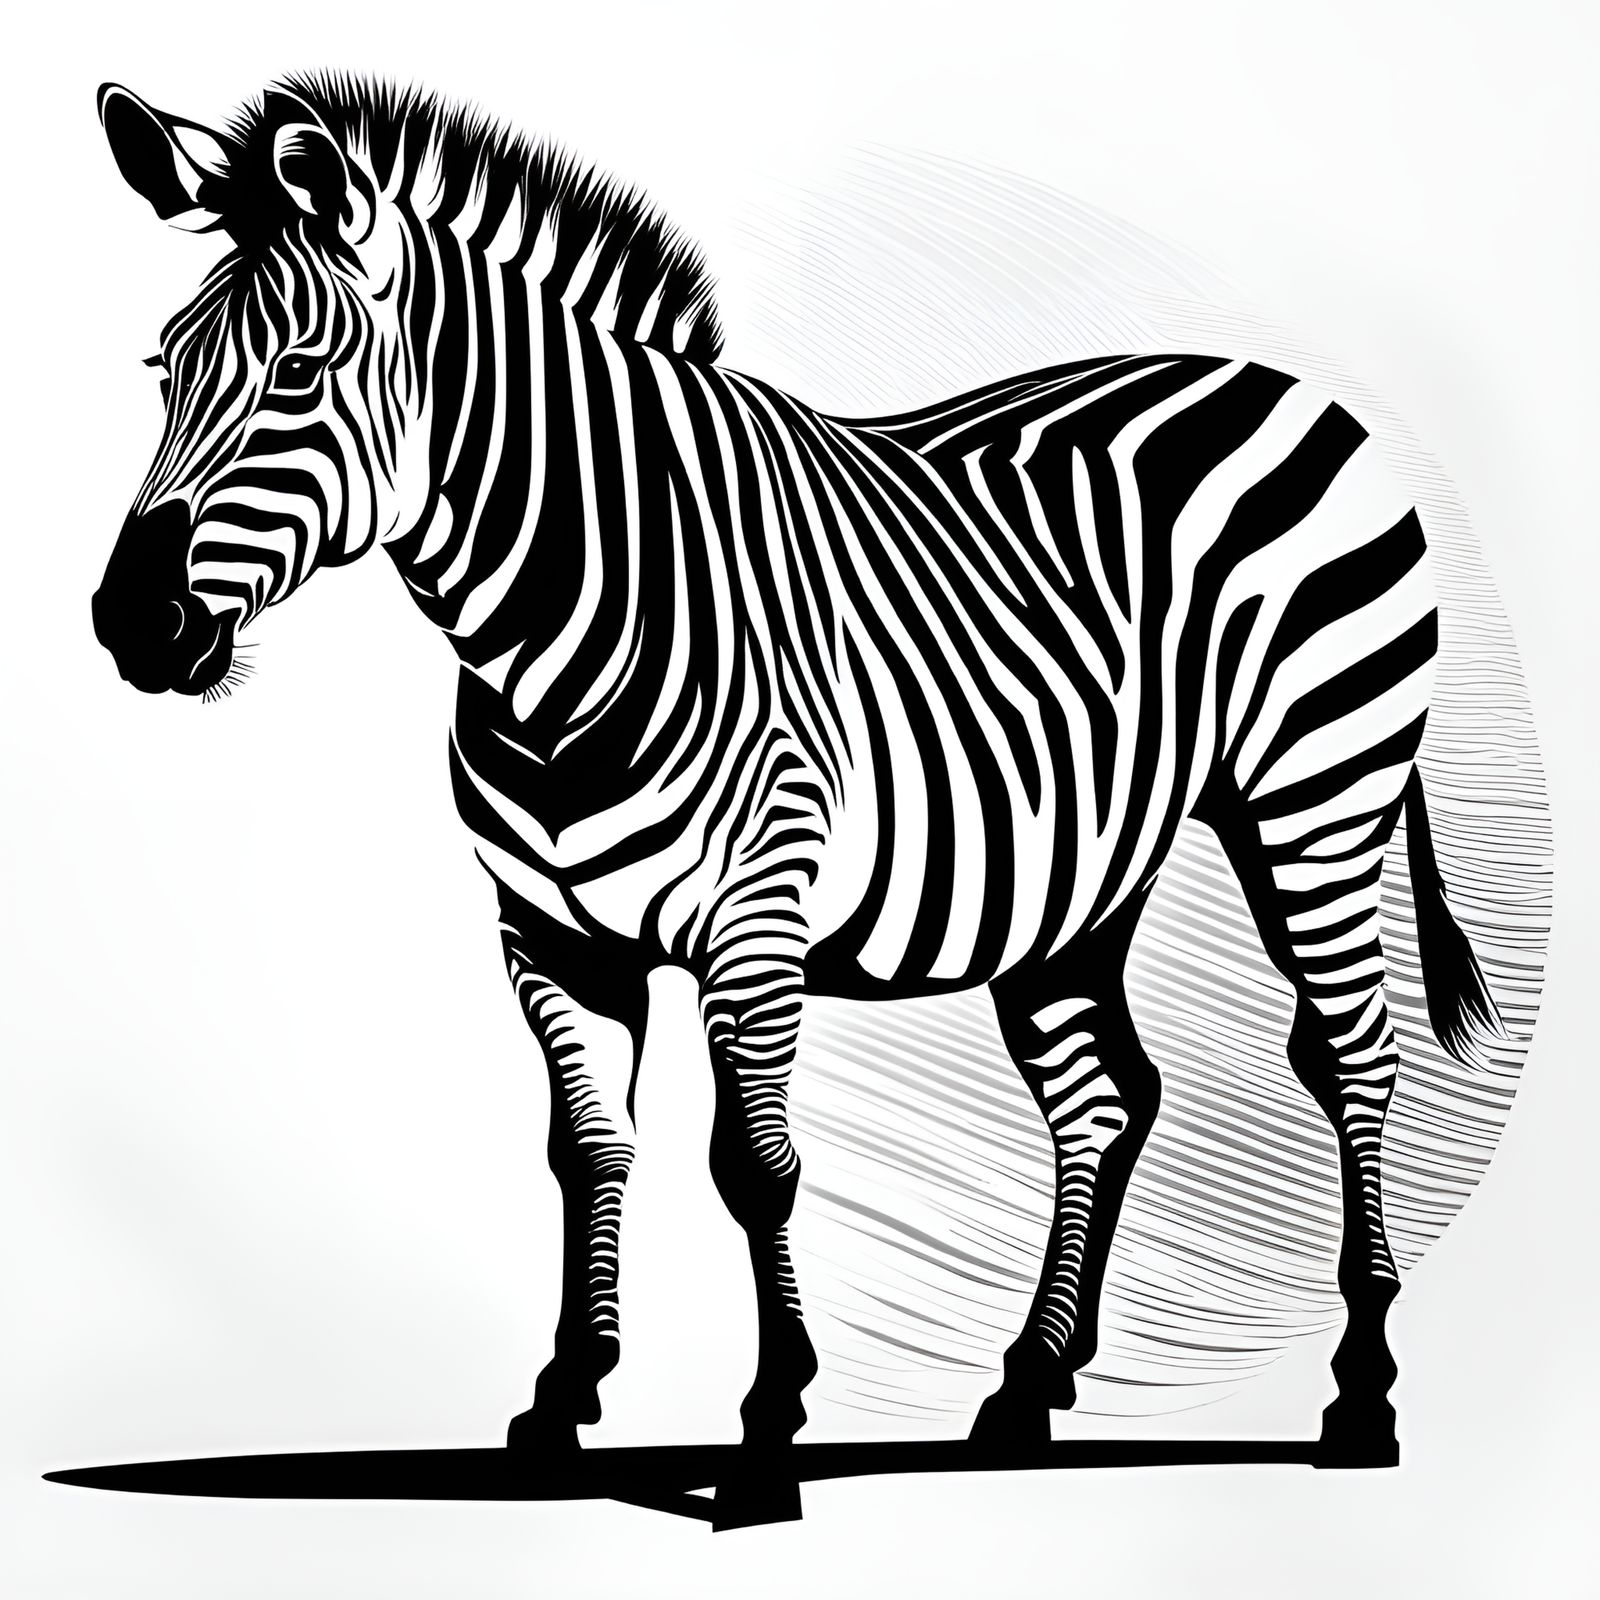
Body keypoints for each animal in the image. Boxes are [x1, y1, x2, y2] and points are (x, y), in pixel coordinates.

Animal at [93, 75, 1501, 1520]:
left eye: (297, 375)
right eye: (162, 371)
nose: (130, 625)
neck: (571, 616)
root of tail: (1296, 389)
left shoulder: (755, 909)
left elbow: (753, 1165)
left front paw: (770, 1430)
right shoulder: (552, 936)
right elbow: (587, 1150)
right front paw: (563, 1402)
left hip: (1317, 792)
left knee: (1349, 1056)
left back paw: (1360, 1396)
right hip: (1083, 866)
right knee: (1107, 1094)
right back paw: (1029, 1388)